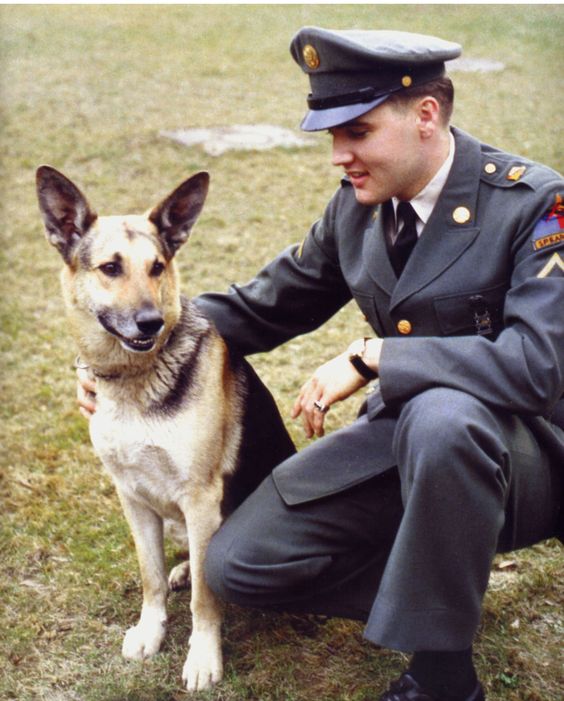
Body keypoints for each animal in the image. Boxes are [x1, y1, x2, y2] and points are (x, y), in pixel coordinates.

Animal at [35, 167, 245, 692]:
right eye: (111, 268)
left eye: (157, 267)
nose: (150, 322)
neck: (133, 381)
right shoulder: (131, 495)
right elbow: (150, 576)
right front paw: (151, 633)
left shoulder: (200, 497)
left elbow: (205, 597)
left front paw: (202, 656)